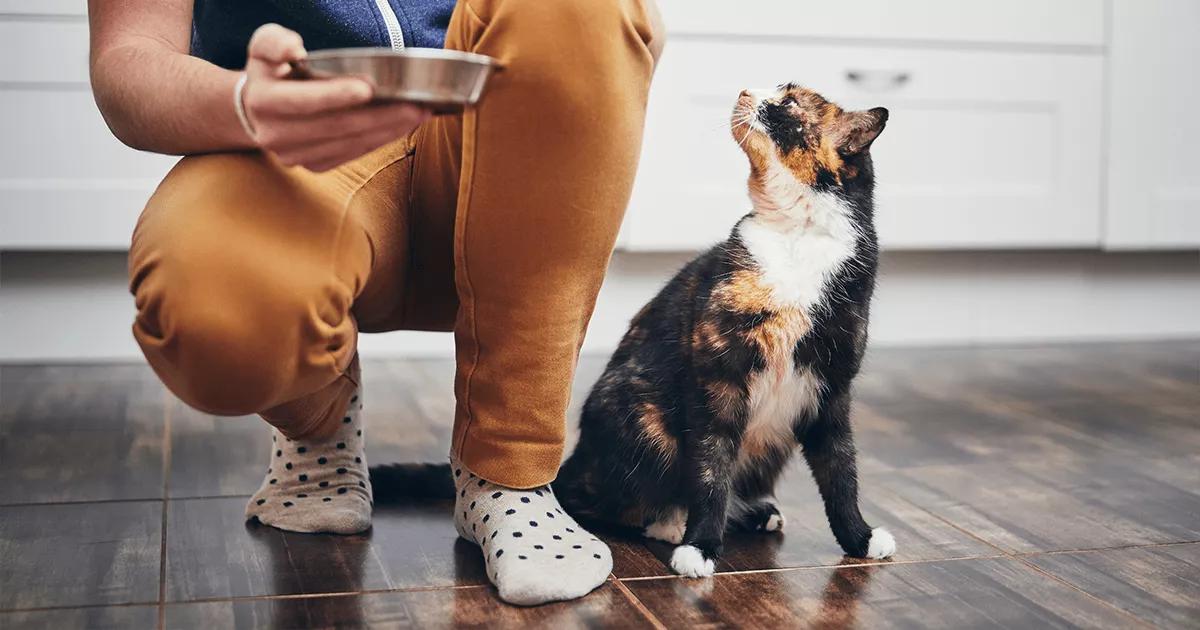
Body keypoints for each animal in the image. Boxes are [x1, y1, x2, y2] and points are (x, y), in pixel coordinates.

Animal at [552, 85, 892, 578]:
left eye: (789, 102)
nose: (747, 90)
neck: (797, 233)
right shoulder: (719, 378)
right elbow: (711, 468)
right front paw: (699, 547)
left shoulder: (830, 388)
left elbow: (841, 471)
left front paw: (860, 538)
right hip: (644, 419)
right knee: (586, 499)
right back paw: (669, 522)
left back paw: (756, 512)